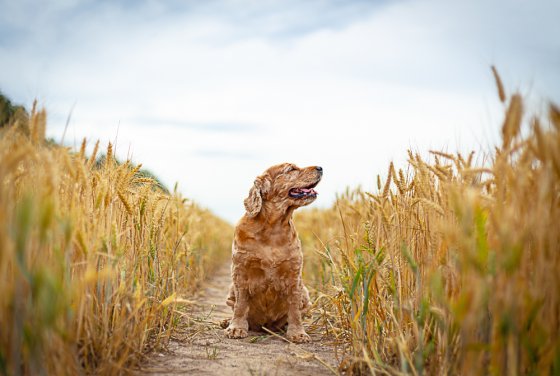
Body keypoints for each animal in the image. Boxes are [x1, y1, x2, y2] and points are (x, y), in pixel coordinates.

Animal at [222, 163, 322, 342]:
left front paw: (298, 333)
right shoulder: (241, 272)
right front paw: (235, 328)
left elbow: (294, 310)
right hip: (231, 290)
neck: (273, 228)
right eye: (291, 169)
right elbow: (241, 306)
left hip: (305, 293)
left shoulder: (294, 276)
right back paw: (226, 321)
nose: (320, 167)